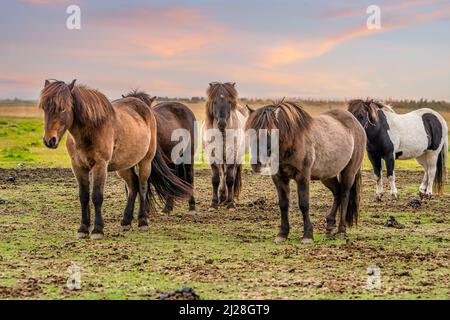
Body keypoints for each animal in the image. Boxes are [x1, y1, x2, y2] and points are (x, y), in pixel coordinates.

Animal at [39, 79, 192, 240]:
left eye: (63, 108)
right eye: (44, 108)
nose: (50, 140)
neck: (91, 130)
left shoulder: (100, 165)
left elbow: (96, 196)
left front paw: (97, 230)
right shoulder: (78, 167)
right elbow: (84, 197)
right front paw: (83, 229)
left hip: (145, 162)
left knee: (142, 186)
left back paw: (143, 221)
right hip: (124, 166)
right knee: (133, 186)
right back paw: (126, 221)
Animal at [246, 101, 366, 244]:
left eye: (269, 133)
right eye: (250, 133)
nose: (256, 163)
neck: (291, 141)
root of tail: (355, 122)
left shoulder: (302, 176)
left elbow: (304, 204)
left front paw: (307, 235)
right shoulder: (279, 178)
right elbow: (283, 204)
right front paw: (282, 234)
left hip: (349, 172)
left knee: (344, 195)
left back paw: (341, 231)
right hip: (327, 175)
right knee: (337, 193)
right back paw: (330, 224)